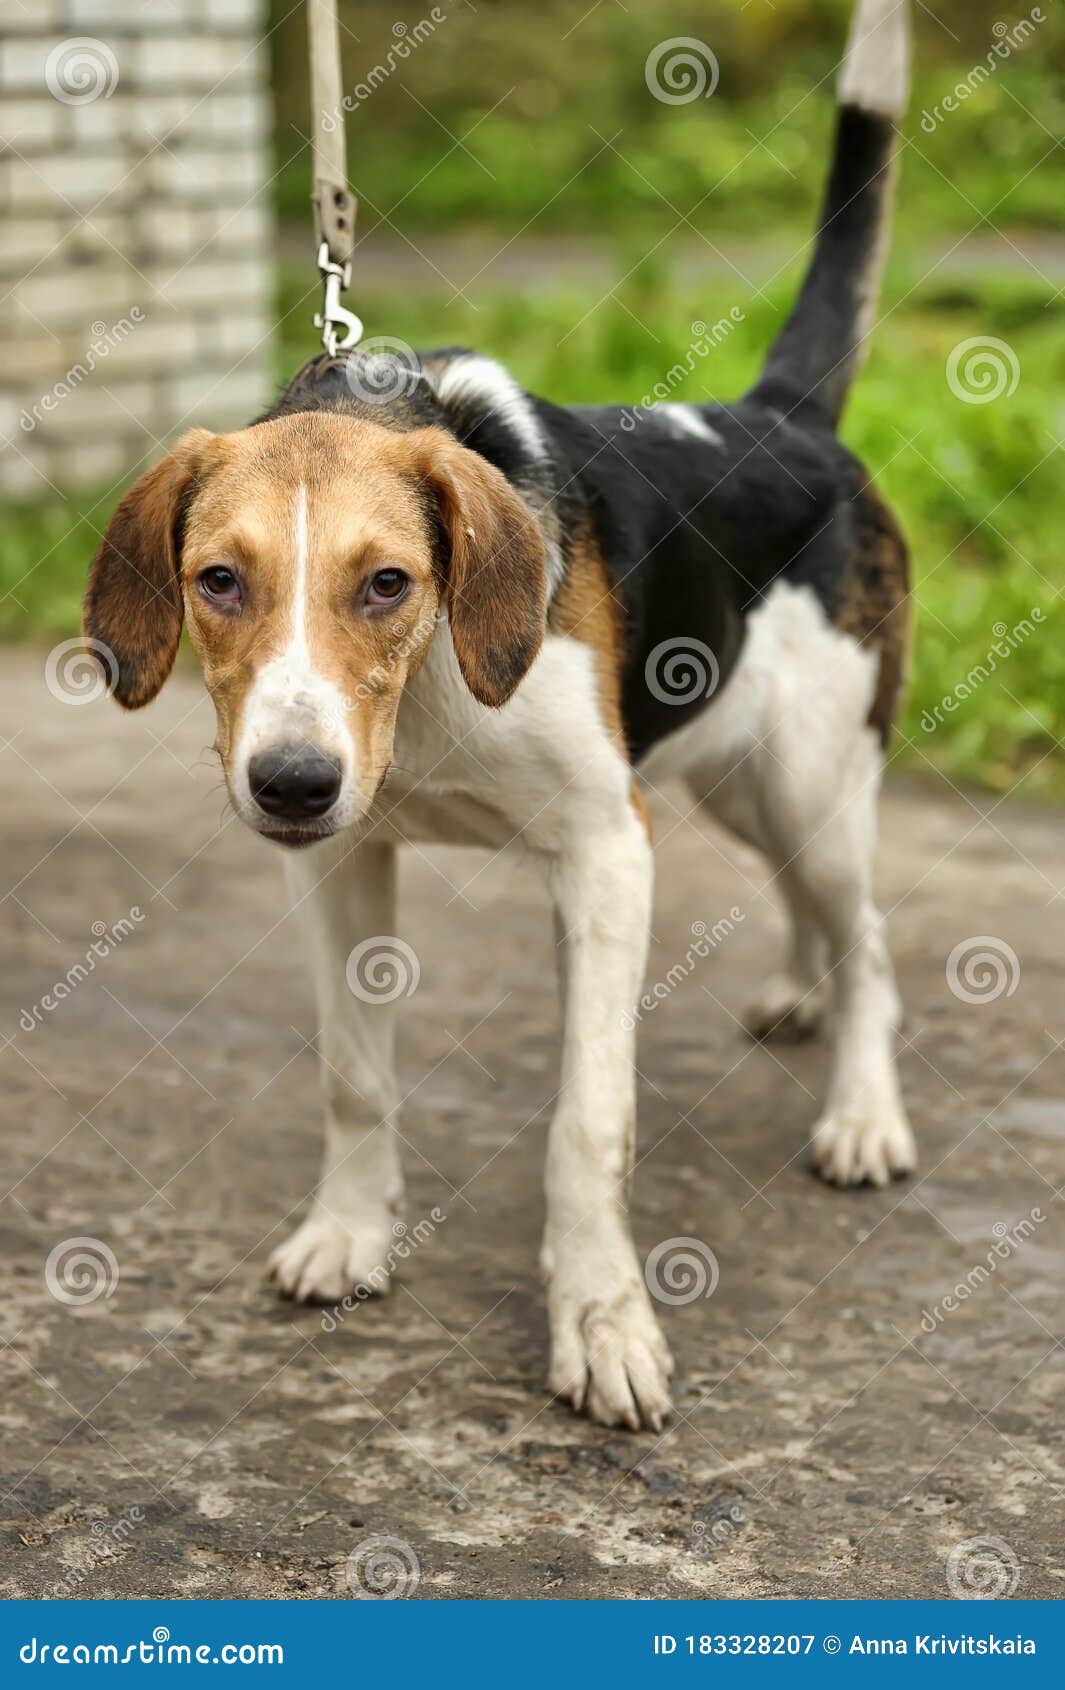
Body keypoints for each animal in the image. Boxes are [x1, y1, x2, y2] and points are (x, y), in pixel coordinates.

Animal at [83, 0, 919, 1426]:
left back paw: (862, 1111)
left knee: (868, 938)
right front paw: (350, 1232)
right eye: (216, 582)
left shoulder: (607, 848)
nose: (291, 783)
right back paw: (799, 997)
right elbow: (352, 1072)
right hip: (734, 780)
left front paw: (603, 1321)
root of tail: (779, 418)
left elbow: (588, 1123)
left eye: (389, 583)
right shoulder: (344, 864)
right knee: (816, 911)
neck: (425, 696)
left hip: (807, 779)